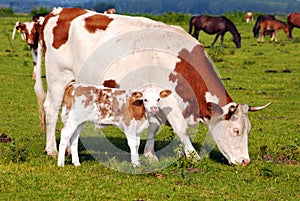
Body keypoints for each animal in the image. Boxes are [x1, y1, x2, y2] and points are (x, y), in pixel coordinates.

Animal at [34, 7, 270, 166]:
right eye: (236, 130)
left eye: (248, 130)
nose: (245, 161)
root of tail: (58, 12)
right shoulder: (169, 98)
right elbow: (181, 128)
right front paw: (193, 156)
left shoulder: (156, 98)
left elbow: (154, 126)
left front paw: (149, 154)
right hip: (58, 77)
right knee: (51, 110)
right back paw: (52, 149)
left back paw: (68, 150)